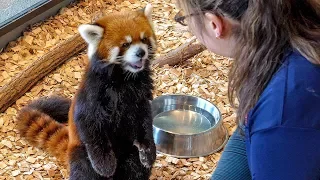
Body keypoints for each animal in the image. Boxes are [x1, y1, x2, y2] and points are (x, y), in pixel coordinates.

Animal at [16, 4, 156, 180]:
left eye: (144, 39)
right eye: (125, 44)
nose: (141, 52)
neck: (125, 79)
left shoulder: (141, 95)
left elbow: (145, 120)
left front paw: (148, 151)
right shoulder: (92, 95)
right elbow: (90, 128)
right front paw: (105, 165)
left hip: (129, 151)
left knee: (135, 167)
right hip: (80, 153)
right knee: (84, 169)